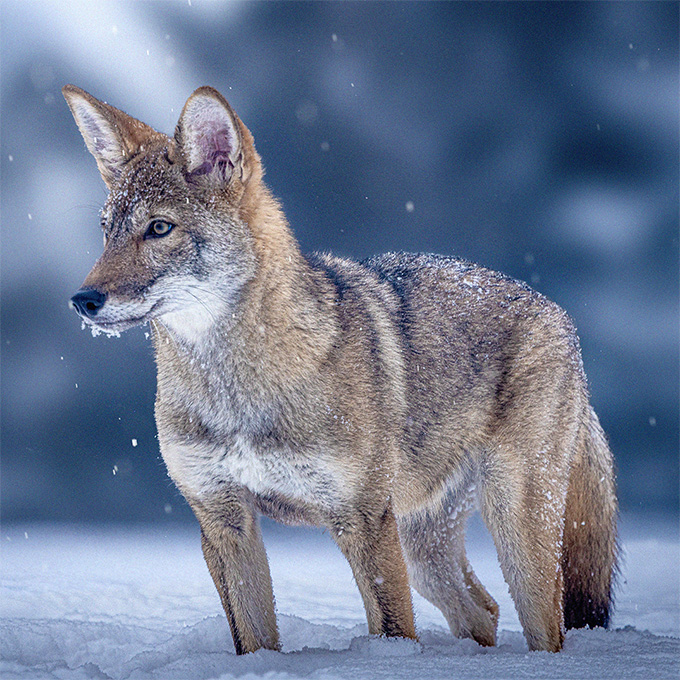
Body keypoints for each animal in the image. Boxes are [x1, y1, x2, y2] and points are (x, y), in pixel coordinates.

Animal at [63, 84, 618, 655]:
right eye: (106, 233)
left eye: (158, 228)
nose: (83, 300)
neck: (237, 390)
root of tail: (555, 311)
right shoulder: (223, 519)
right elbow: (254, 639)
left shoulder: (363, 521)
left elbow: (393, 632)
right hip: (425, 549)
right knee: (482, 610)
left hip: (513, 532)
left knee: (544, 628)